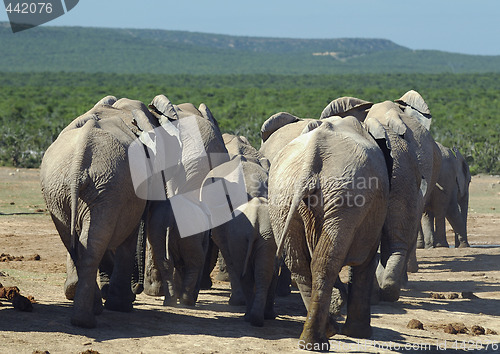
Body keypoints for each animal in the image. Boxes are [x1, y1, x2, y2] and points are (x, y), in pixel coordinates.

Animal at [40, 95, 158, 328]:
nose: (137, 290)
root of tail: (79, 161)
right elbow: (128, 238)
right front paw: (122, 306)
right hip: (104, 187)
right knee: (93, 243)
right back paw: (88, 319)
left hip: (66, 191)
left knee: (82, 242)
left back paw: (83, 313)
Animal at [266, 116, 390, 348]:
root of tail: (310, 162)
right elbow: (367, 260)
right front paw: (360, 334)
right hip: (345, 198)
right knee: (325, 262)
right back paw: (321, 340)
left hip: (284, 197)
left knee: (299, 263)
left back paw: (319, 336)